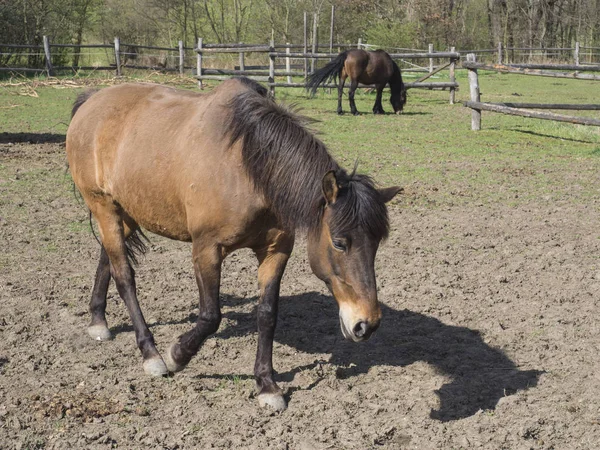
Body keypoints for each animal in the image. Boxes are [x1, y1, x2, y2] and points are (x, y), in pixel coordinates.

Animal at [65, 78, 400, 412]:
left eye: (376, 245)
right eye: (340, 243)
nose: (366, 325)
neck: (248, 168)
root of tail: (92, 100)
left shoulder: (276, 250)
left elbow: (267, 314)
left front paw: (266, 384)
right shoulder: (206, 249)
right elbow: (210, 316)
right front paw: (176, 356)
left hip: (129, 210)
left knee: (107, 259)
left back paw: (98, 321)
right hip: (104, 206)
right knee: (124, 275)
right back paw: (151, 354)